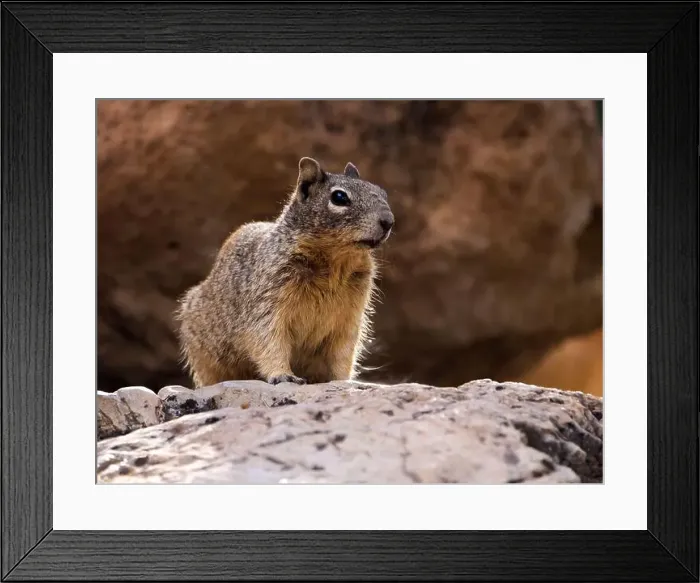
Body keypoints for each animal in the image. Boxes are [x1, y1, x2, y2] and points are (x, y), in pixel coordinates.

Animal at [175, 156, 394, 388]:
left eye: (382, 192)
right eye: (339, 197)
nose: (388, 221)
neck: (336, 262)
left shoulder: (350, 318)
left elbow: (343, 354)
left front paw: (346, 381)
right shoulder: (269, 301)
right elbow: (269, 339)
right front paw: (283, 375)